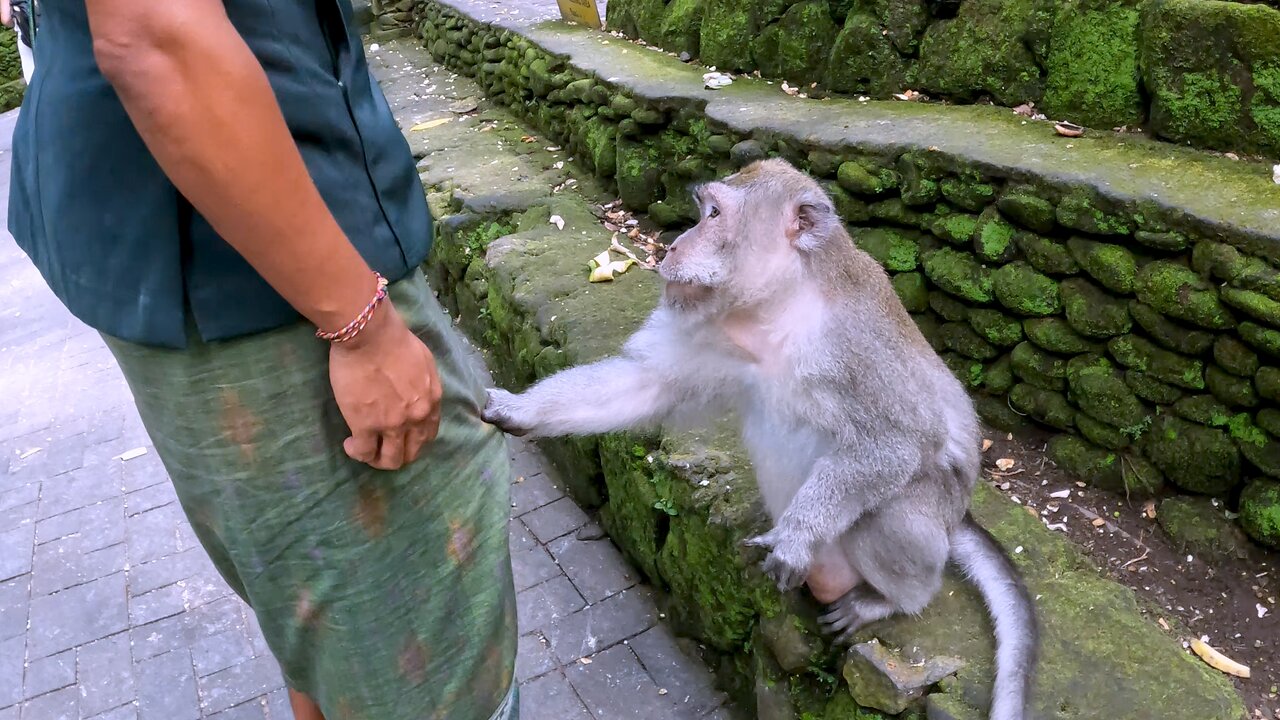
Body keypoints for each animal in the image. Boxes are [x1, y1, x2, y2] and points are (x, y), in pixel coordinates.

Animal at [483, 156, 1034, 717]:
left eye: (714, 215)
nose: (674, 246)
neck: (779, 309)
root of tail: (956, 517)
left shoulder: (855, 342)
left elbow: (899, 439)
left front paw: (794, 537)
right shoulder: (714, 328)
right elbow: (648, 382)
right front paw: (523, 409)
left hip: (926, 521)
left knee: (888, 511)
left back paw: (893, 599)